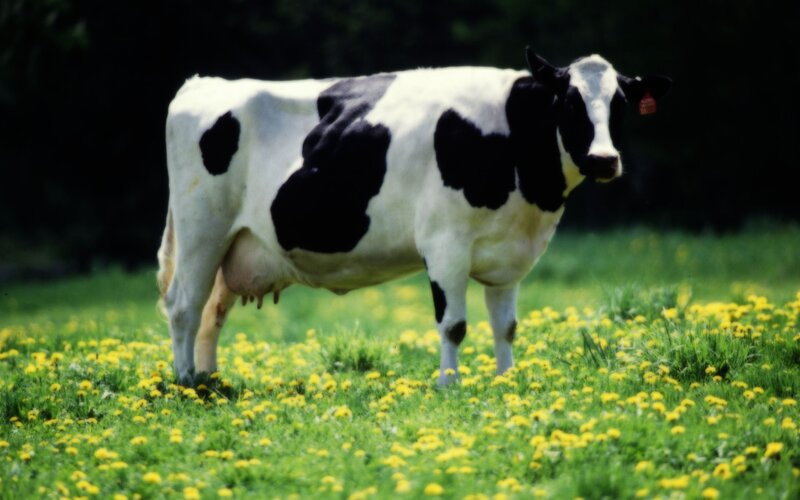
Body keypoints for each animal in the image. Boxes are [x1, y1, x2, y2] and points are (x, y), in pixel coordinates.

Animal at [157, 48, 671, 386]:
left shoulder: (509, 255)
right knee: (184, 305)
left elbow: (505, 326)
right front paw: (449, 385)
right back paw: (186, 383)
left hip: (235, 244)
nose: (604, 160)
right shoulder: (445, 244)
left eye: (620, 104)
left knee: (212, 312)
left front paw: (506, 381)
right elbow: (454, 324)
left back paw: (210, 380)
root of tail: (203, 83)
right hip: (202, 229)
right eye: (568, 102)